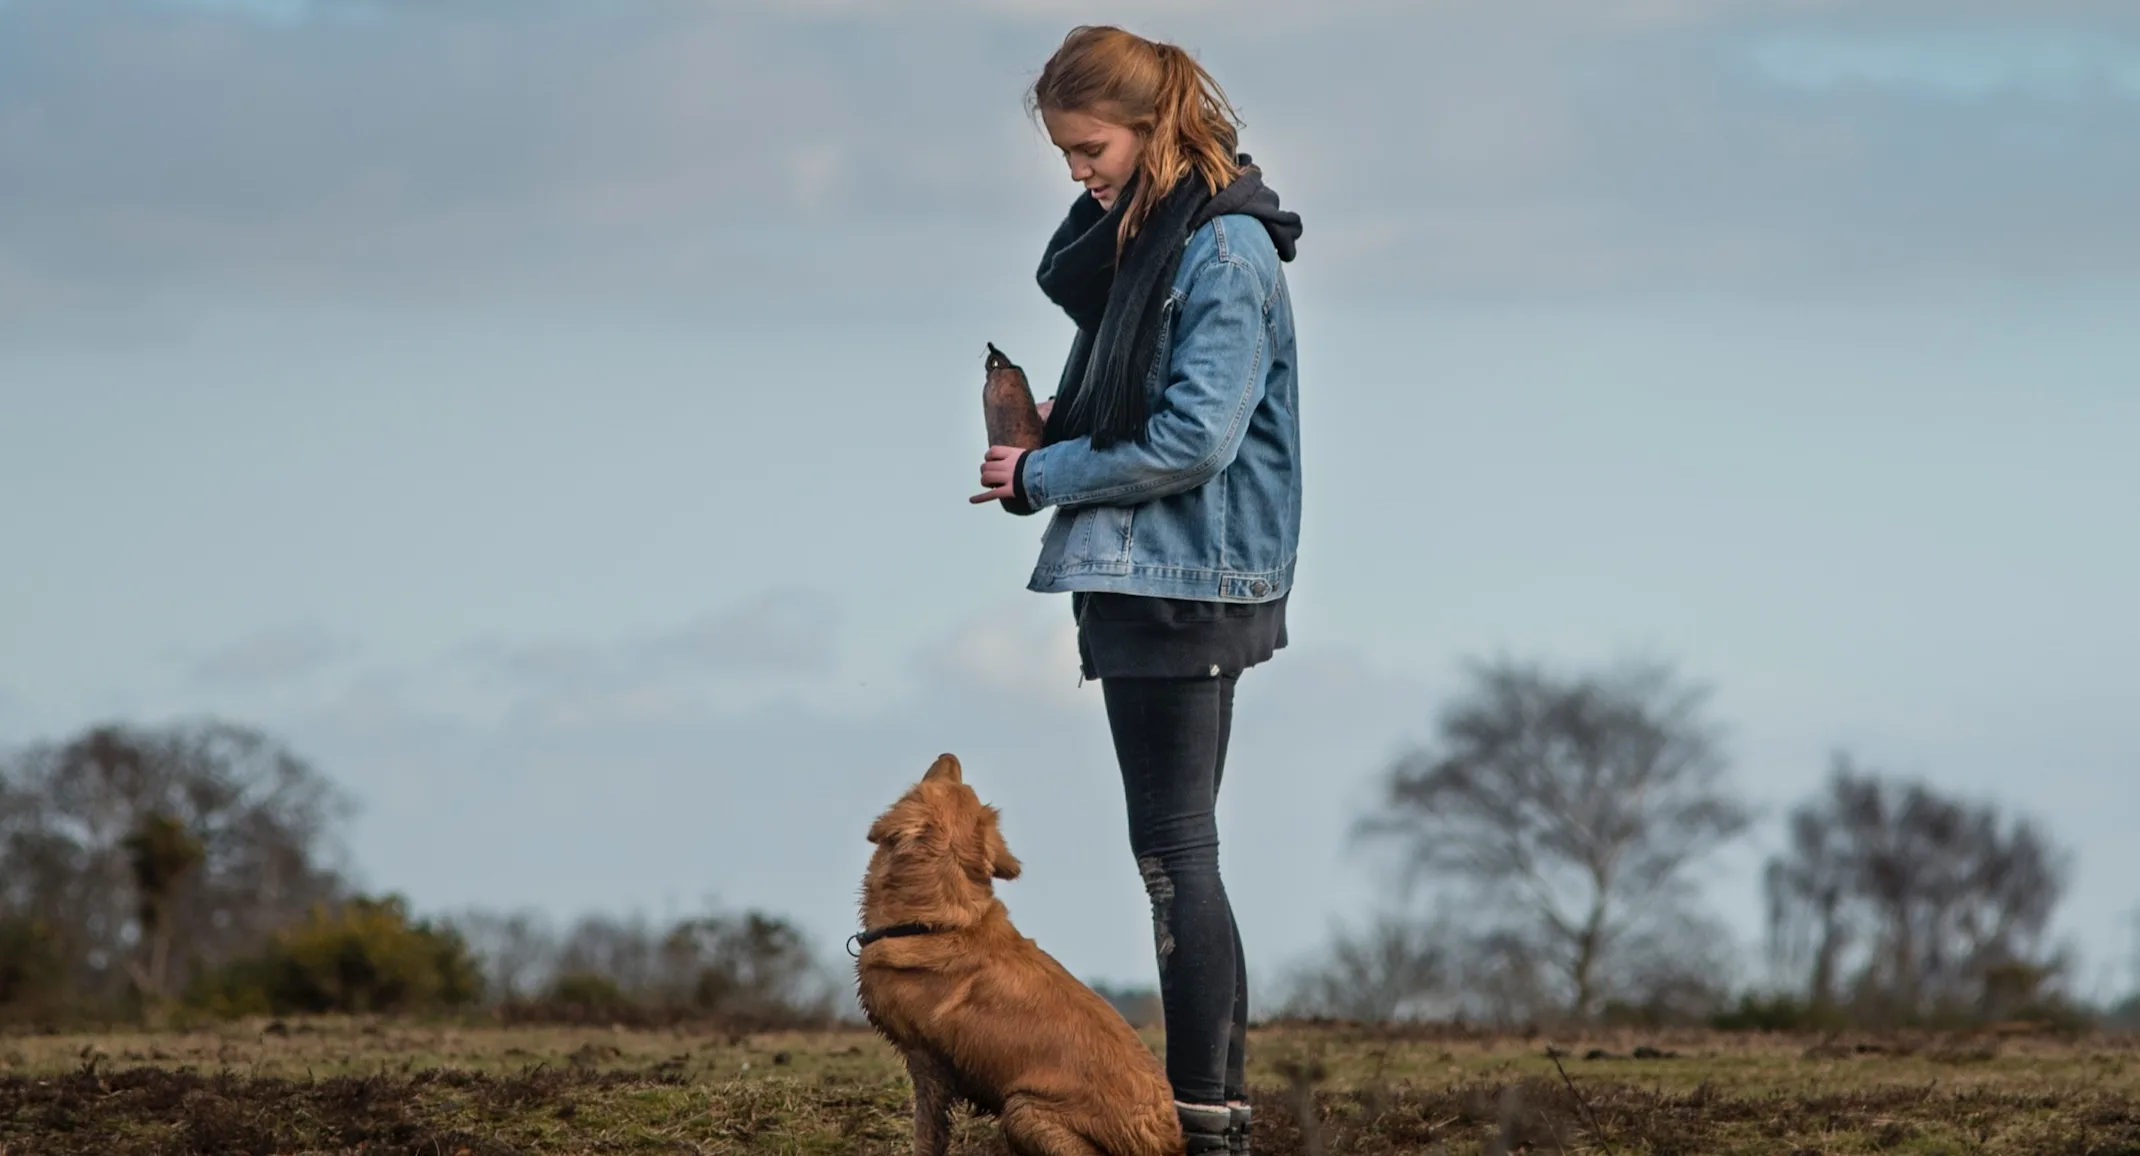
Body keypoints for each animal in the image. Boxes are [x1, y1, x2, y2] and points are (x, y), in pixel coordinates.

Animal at [856, 753, 1189, 1156]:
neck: (937, 921)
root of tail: (1171, 1142)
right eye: (961, 785)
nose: (950, 756)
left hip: (1022, 1109)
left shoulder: (927, 1062)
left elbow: (927, 1133)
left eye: (941, 783)